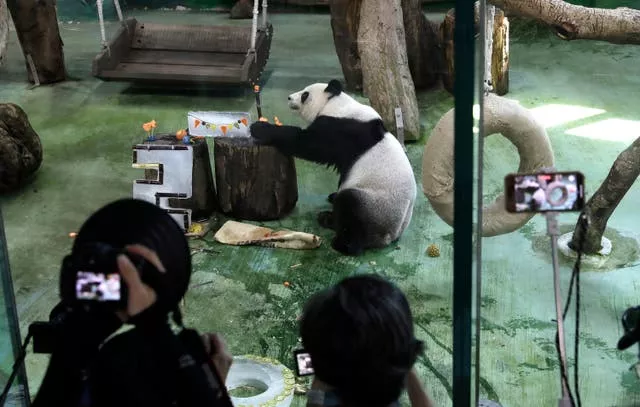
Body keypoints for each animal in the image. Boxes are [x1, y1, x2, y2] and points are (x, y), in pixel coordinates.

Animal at [248, 80, 418, 255]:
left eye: (305, 94)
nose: (289, 98)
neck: (336, 104)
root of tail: (390, 236)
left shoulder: (344, 130)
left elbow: (309, 144)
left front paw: (260, 128)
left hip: (375, 205)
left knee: (351, 207)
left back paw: (339, 239)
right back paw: (331, 207)